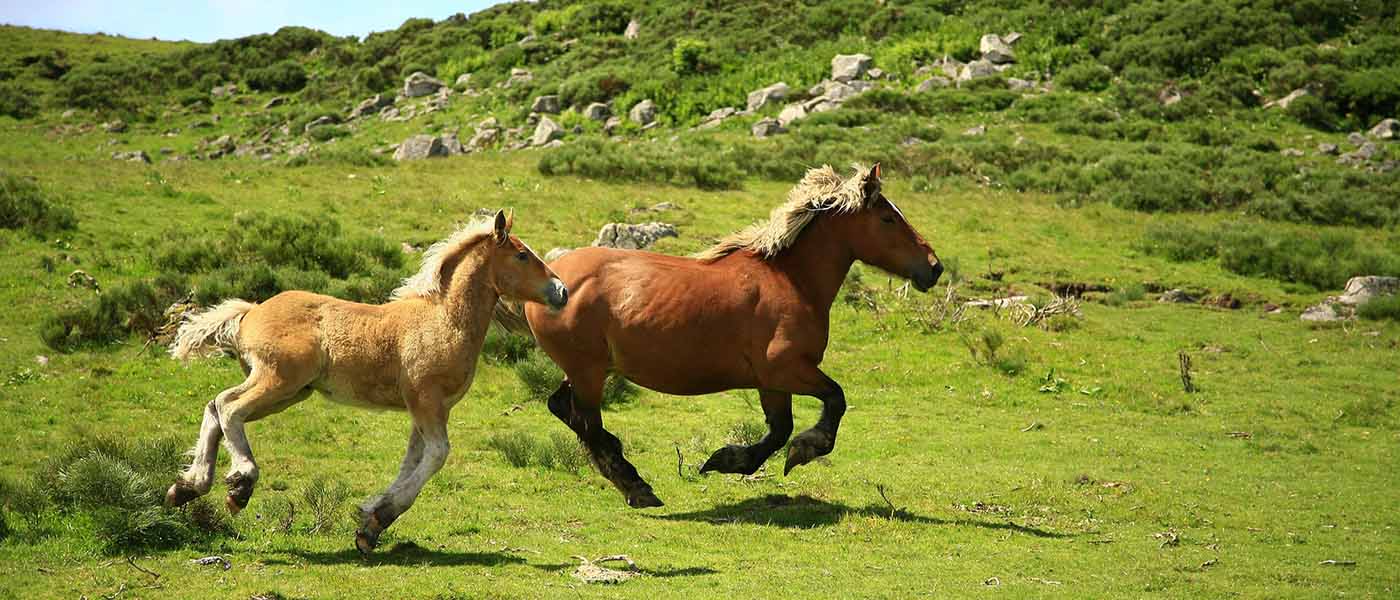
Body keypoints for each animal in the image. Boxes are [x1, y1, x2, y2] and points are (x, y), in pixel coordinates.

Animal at [168, 209, 568, 551]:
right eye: (522, 255)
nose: (561, 291)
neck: (444, 319)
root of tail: (251, 311)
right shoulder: (426, 400)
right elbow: (437, 455)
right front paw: (378, 517)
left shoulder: (426, 408)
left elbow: (413, 459)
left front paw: (370, 523)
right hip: (278, 380)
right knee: (228, 407)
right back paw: (239, 485)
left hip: (290, 392)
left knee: (215, 407)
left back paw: (187, 487)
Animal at [515, 163, 940, 506]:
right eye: (887, 218)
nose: (933, 267)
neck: (792, 281)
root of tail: (551, 279)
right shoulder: (786, 369)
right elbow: (834, 401)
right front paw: (803, 450)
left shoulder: (771, 382)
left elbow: (779, 430)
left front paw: (729, 460)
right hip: (587, 371)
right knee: (586, 422)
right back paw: (637, 486)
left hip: (586, 369)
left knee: (564, 409)